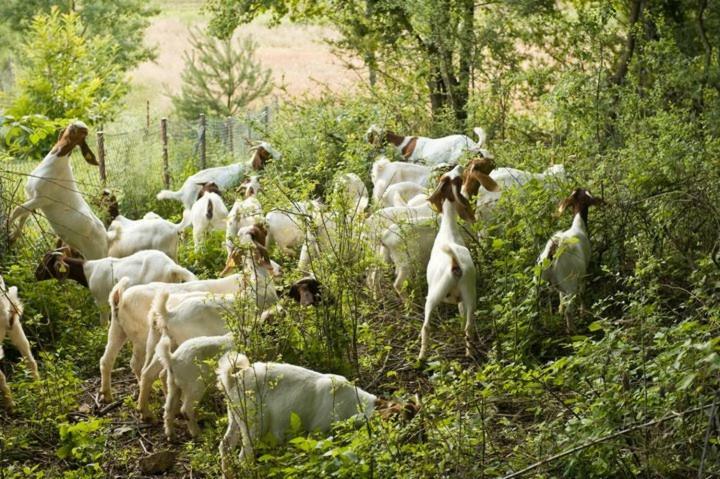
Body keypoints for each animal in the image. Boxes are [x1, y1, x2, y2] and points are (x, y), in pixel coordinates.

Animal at [9, 122, 108, 260]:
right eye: (71, 125)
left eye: (83, 133)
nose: (74, 126)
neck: (55, 165)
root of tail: (106, 244)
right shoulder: (31, 197)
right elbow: (23, 214)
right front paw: (12, 238)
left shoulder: (42, 199)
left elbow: (16, 210)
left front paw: (5, 226)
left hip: (94, 255)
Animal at [420, 164, 498, 360]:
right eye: (454, 177)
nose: (459, 165)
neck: (449, 231)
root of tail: (455, 264)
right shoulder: (461, 300)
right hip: (470, 293)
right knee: (468, 325)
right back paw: (469, 353)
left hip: (434, 295)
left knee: (426, 326)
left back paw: (421, 357)